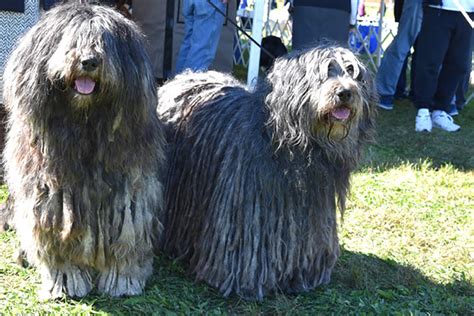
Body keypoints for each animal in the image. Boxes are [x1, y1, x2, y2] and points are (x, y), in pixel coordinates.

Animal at [2, 2, 165, 298]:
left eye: (105, 41)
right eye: (70, 40)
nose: (89, 61)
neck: (86, 126)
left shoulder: (130, 190)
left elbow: (128, 235)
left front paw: (122, 278)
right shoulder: (52, 196)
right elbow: (58, 242)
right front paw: (66, 278)